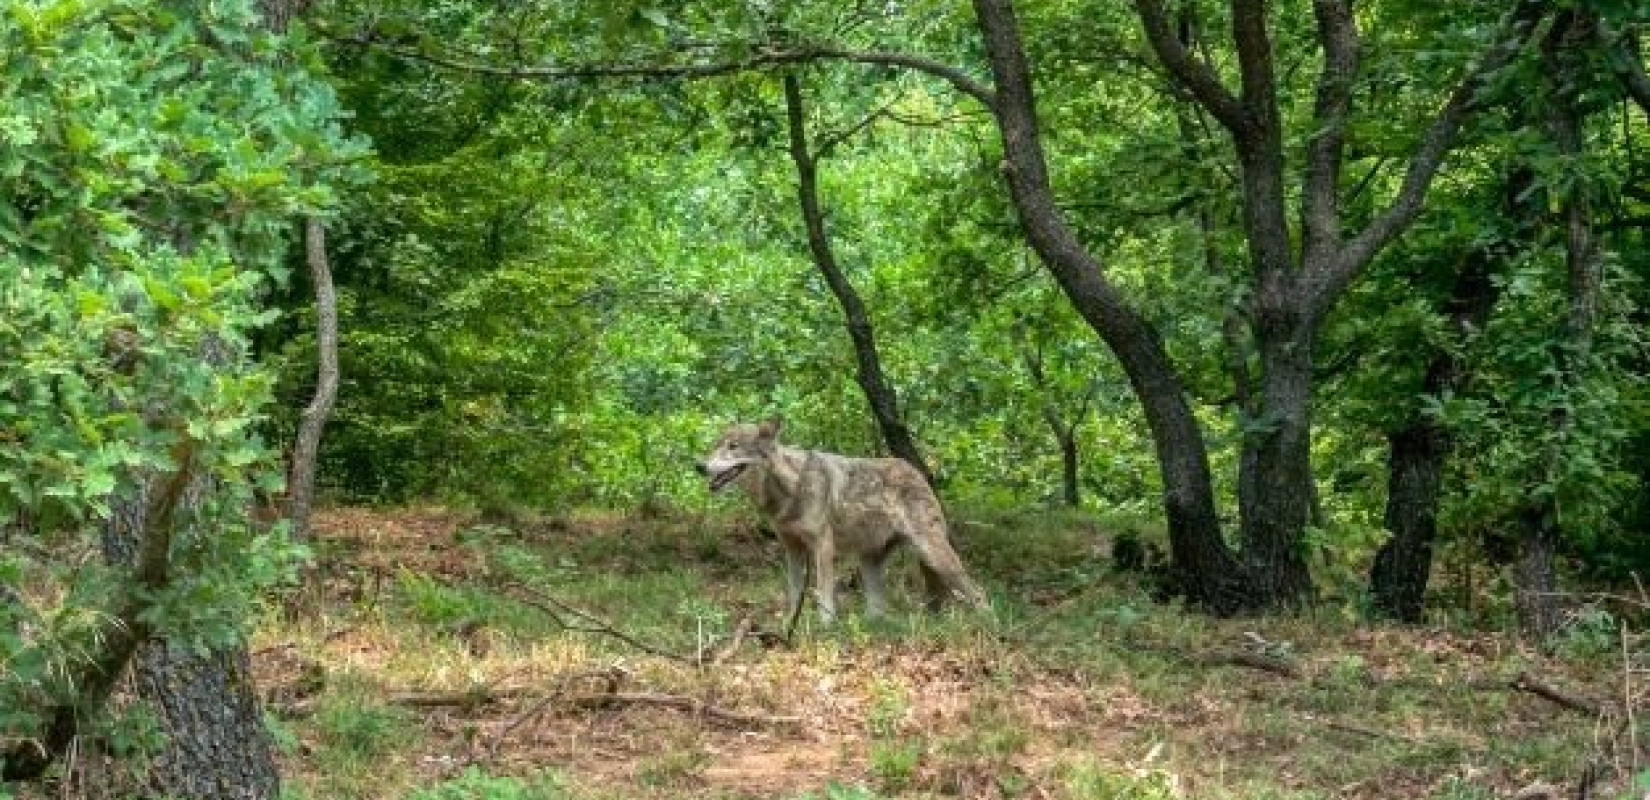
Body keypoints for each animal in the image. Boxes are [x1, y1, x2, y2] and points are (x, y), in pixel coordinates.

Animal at [693, 417, 983, 623]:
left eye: (733, 446)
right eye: (716, 445)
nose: (699, 466)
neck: (792, 488)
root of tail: (917, 471)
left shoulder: (822, 545)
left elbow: (824, 594)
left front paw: (825, 629)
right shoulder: (792, 549)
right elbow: (794, 594)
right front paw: (789, 627)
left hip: (933, 554)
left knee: (979, 594)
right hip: (871, 564)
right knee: (881, 609)